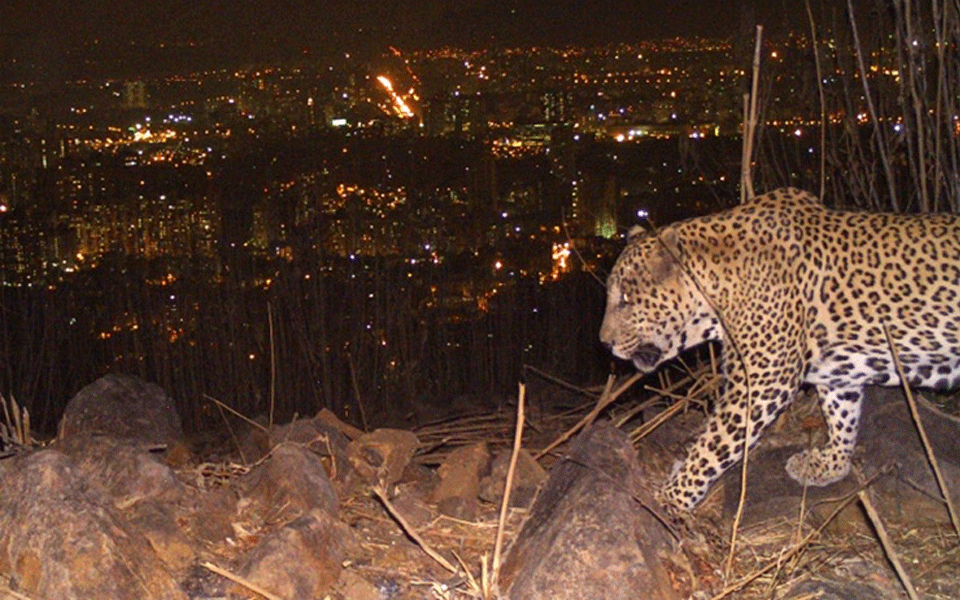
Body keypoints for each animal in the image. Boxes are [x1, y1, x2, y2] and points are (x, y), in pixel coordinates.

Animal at [600, 188, 960, 510]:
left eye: (626, 299)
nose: (605, 342)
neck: (717, 289)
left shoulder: (762, 382)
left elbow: (711, 446)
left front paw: (670, 498)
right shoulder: (837, 374)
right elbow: (842, 416)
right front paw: (831, 464)